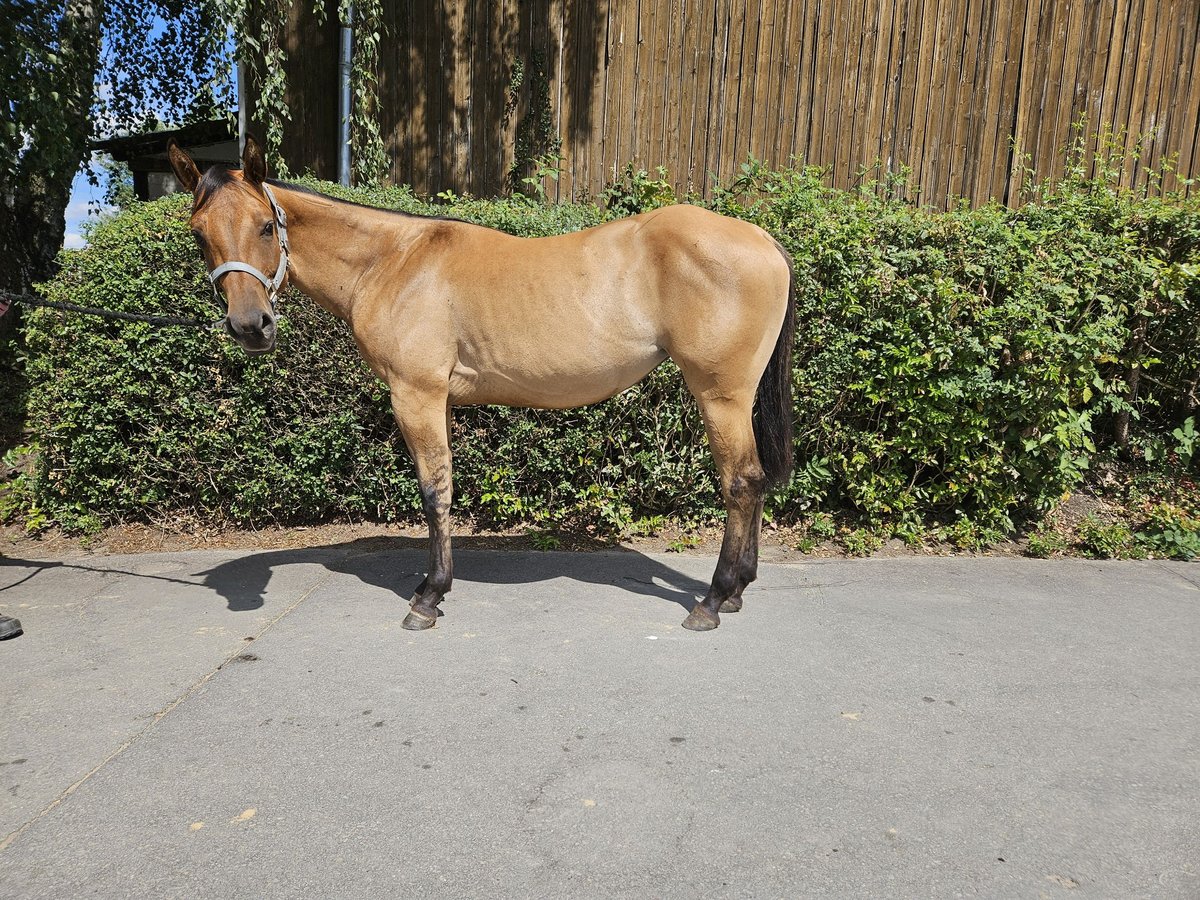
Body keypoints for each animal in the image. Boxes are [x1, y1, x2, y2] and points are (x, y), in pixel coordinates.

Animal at [167, 136, 795, 633]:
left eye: (265, 226)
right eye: (199, 234)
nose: (250, 326)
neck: (393, 262)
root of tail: (764, 240)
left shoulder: (415, 395)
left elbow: (432, 489)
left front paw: (428, 596)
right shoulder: (438, 398)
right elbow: (444, 488)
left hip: (720, 395)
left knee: (741, 482)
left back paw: (712, 600)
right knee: (756, 479)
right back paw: (735, 593)